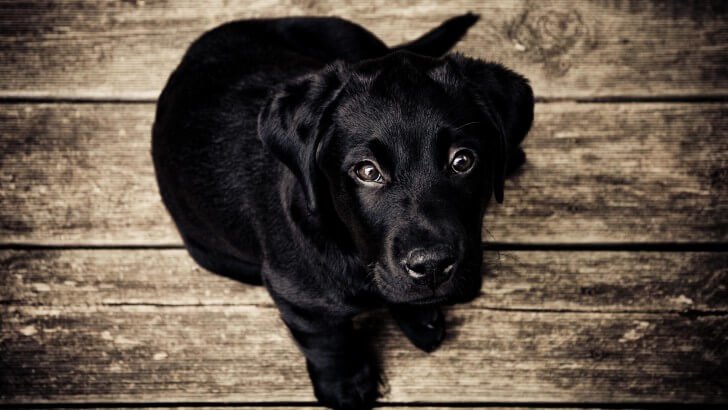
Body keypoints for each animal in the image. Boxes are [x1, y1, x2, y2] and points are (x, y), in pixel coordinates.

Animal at [151, 11, 532, 408]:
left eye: (463, 161)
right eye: (367, 171)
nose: (431, 266)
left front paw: (418, 314)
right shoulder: (296, 296)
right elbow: (326, 340)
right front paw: (346, 384)